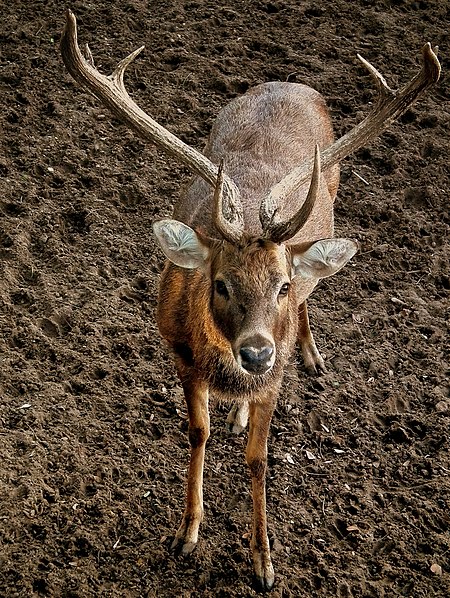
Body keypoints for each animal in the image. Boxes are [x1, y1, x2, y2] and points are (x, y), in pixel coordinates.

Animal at [60, 10, 440, 596]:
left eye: (281, 285)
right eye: (220, 283)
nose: (257, 352)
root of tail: (289, 81)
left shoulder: (274, 375)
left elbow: (259, 461)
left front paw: (263, 561)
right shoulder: (181, 358)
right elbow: (197, 433)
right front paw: (186, 533)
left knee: (314, 289)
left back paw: (310, 354)